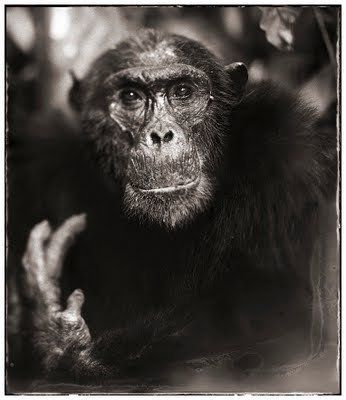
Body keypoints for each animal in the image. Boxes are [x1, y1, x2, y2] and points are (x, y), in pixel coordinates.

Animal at [8, 29, 336, 386]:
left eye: (182, 91)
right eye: (131, 96)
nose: (161, 134)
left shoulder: (288, 151)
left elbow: (273, 310)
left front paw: (58, 334)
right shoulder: (39, 162)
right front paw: (41, 305)